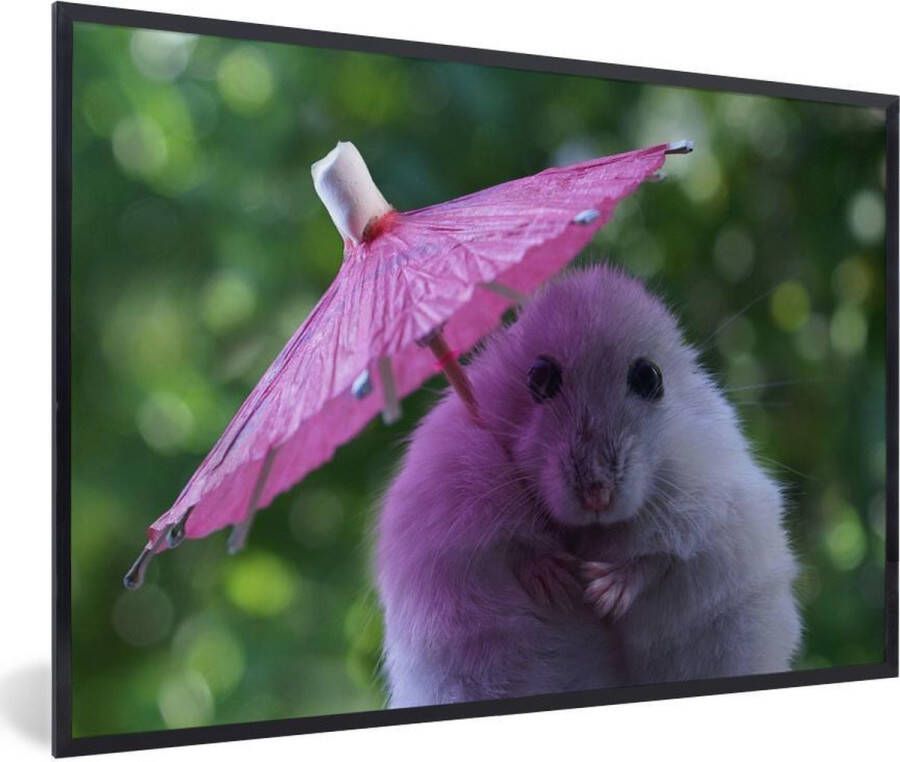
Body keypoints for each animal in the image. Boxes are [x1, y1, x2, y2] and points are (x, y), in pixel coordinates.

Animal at [375, 264, 801, 708]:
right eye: (539, 377)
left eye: (649, 377)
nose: (597, 494)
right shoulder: (450, 491)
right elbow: (510, 545)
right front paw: (560, 583)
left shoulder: (714, 491)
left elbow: (661, 555)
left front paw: (601, 593)